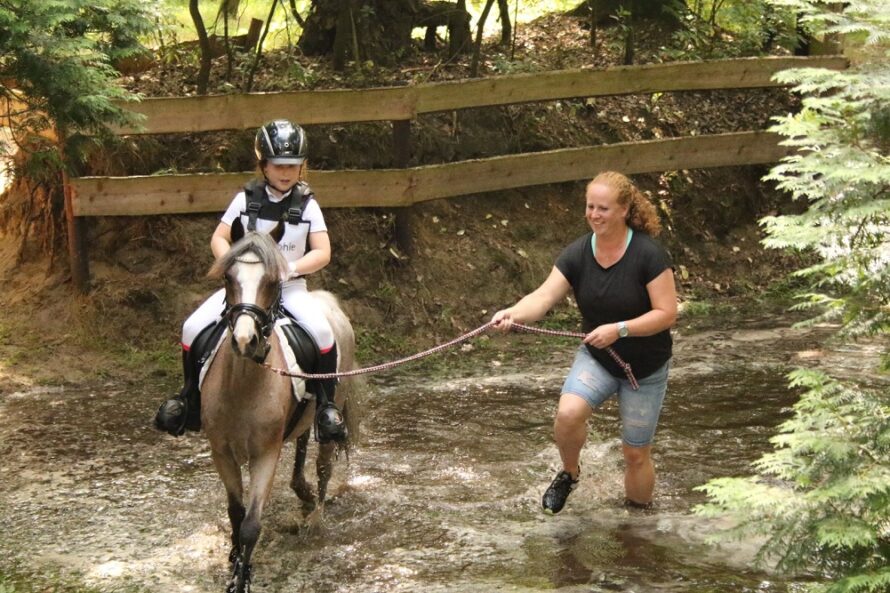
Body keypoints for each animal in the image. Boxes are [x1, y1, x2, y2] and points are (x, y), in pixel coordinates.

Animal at [201, 230, 358, 592]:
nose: (245, 341)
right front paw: (233, 562)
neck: (242, 385)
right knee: (300, 446)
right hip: (301, 419)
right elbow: (236, 512)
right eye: (229, 278)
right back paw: (303, 493)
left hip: (332, 409)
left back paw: (315, 519)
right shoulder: (222, 452)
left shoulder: (265, 454)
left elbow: (251, 524)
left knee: (324, 466)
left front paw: (242, 579)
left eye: (272, 281)